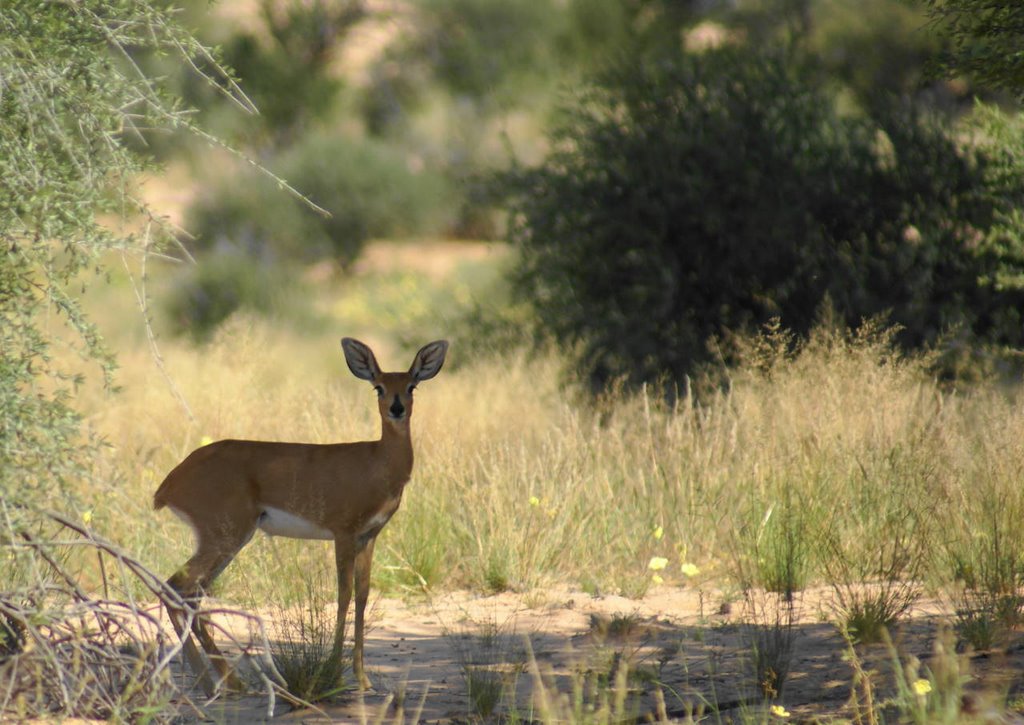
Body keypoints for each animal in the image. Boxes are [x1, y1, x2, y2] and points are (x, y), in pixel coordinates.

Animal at [152, 337, 448, 692]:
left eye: (411, 385)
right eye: (378, 387)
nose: (397, 408)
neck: (376, 462)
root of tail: (168, 484)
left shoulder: (369, 536)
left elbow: (363, 595)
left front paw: (363, 679)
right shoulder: (343, 533)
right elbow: (344, 593)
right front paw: (334, 671)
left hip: (228, 541)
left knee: (191, 594)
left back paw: (229, 682)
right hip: (224, 537)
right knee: (175, 586)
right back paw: (213, 684)